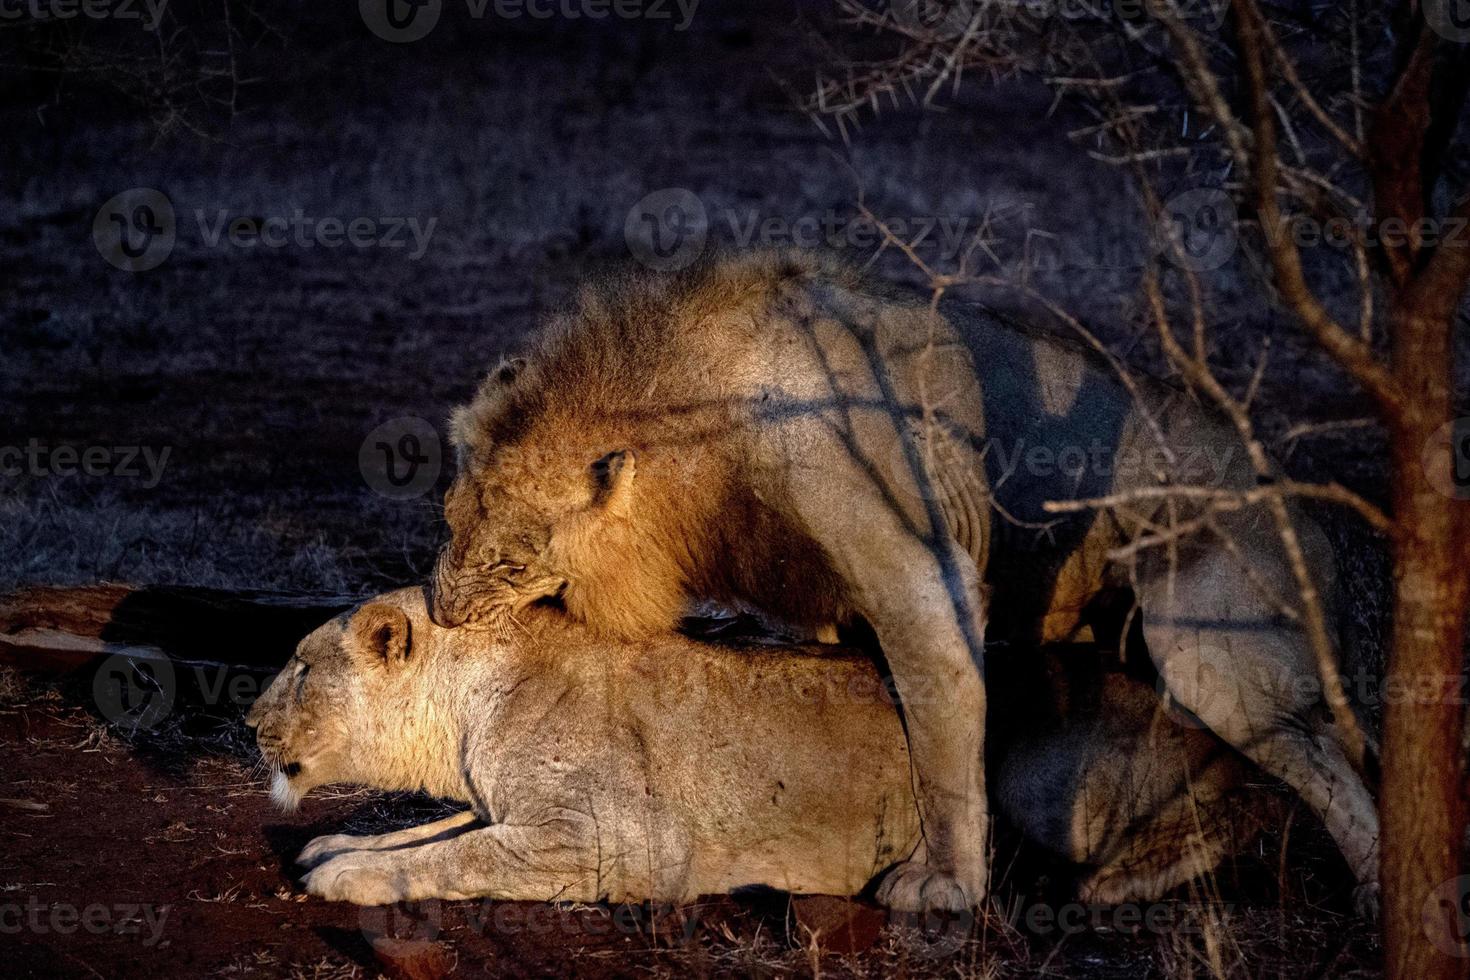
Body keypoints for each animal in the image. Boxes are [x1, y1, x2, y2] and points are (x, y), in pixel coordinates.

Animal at [249, 587, 1264, 910]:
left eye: (299, 665)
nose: (248, 722)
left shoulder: (606, 840)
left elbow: (452, 859)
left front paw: (346, 878)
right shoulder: (507, 807)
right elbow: (424, 834)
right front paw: (335, 848)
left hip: (1029, 751)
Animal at [432, 249, 1375, 916]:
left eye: (510, 558)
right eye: (448, 519)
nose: (440, 611)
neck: (700, 438)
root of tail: (1316, 519)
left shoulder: (910, 560)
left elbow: (942, 730)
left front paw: (945, 886)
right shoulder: (820, 603)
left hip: (1216, 652)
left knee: (1320, 761)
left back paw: (1370, 888)